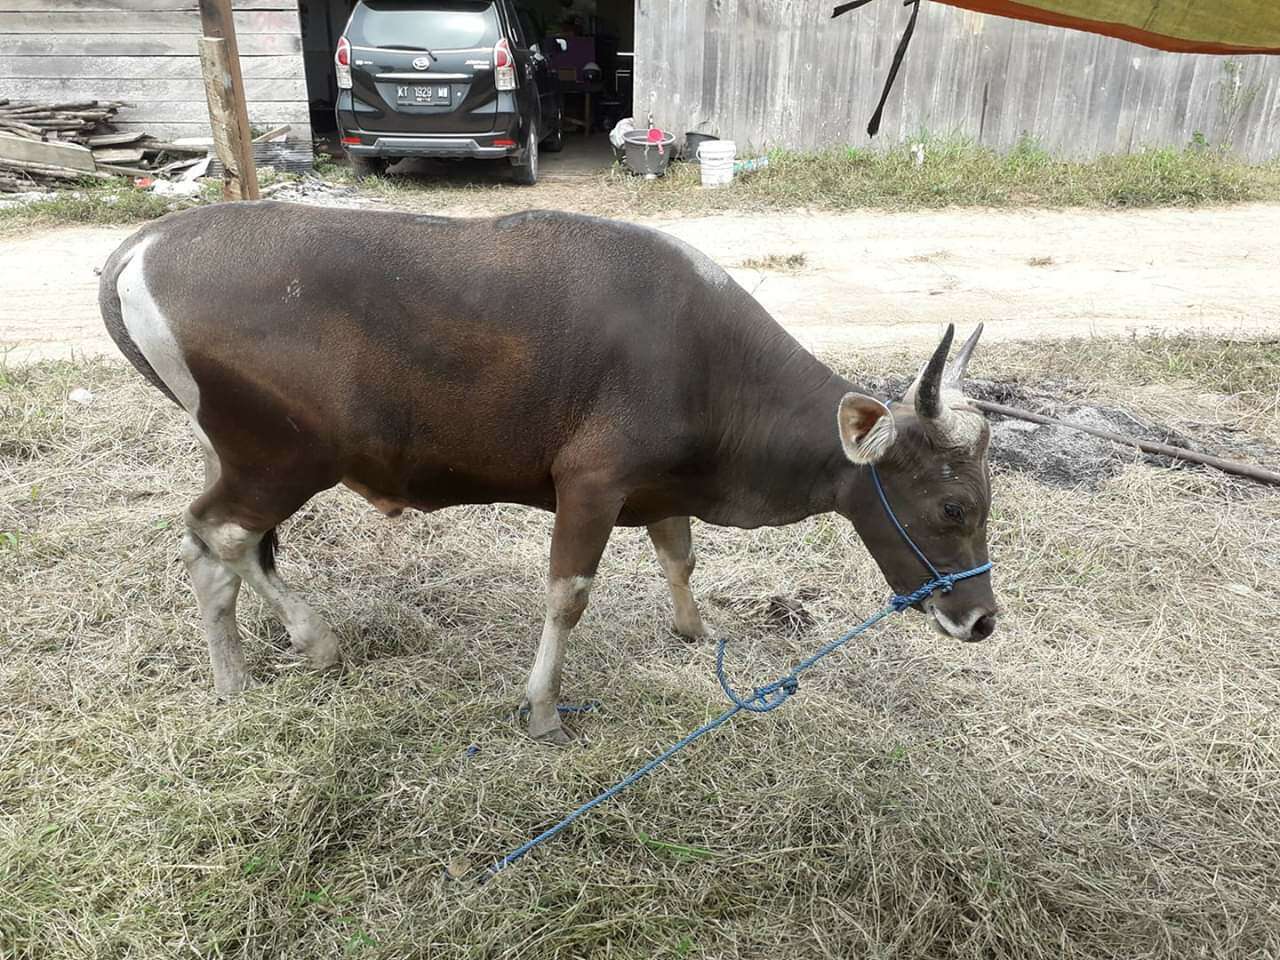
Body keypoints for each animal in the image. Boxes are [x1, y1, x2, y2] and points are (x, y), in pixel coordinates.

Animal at [102, 200, 998, 742]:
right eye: (953, 507)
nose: (982, 621)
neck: (704, 358)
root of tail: (144, 244)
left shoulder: (658, 486)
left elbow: (680, 556)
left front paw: (694, 631)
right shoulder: (591, 487)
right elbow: (568, 595)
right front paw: (542, 709)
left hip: (253, 459)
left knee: (231, 545)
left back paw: (302, 645)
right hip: (279, 458)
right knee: (214, 541)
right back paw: (242, 679)